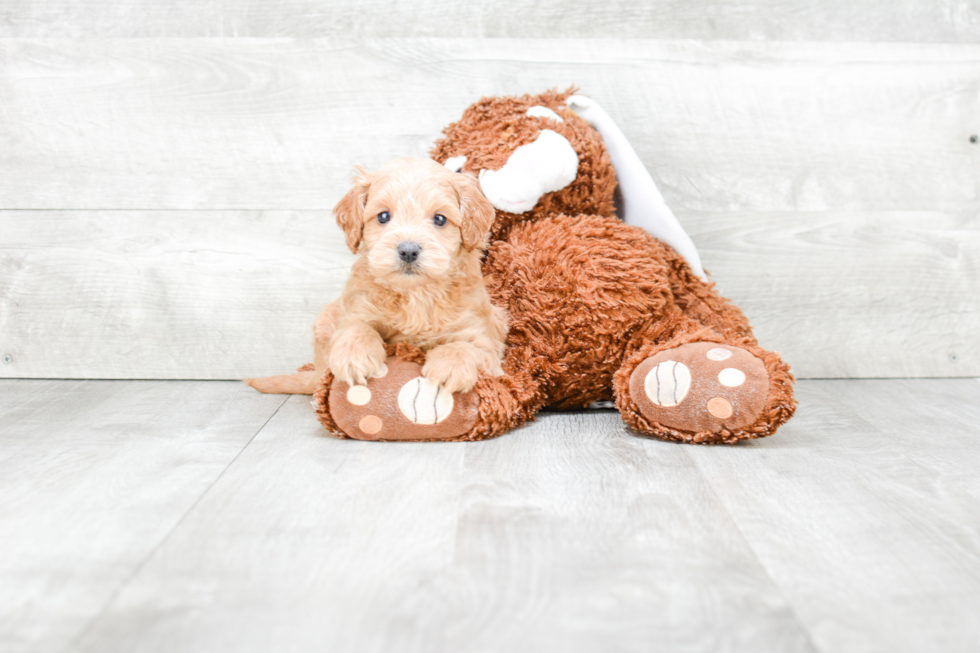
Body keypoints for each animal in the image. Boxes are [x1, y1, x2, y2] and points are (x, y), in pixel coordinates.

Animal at [247, 155, 506, 394]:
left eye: (440, 219)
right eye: (383, 216)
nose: (408, 251)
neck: (415, 294)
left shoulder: (483, 339)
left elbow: (469, 347)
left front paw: (450, 367)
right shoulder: (355, 310)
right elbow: (356, 328)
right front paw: (354, 357)